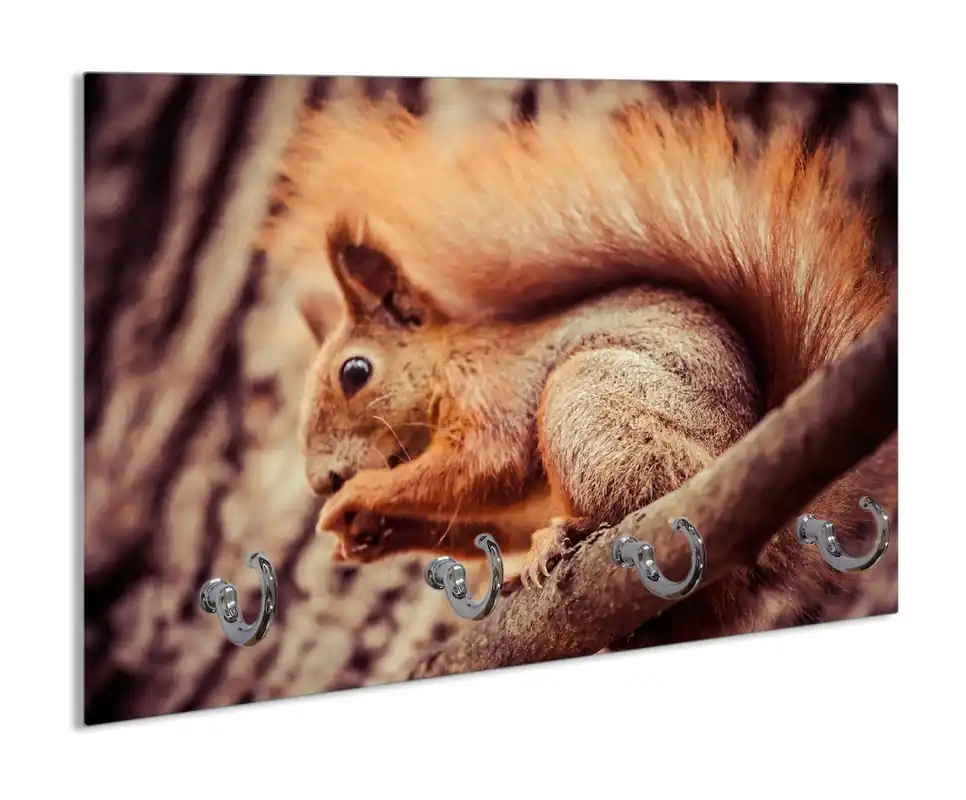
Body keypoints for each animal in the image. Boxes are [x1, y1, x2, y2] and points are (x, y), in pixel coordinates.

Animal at [261, 96, 897, 634]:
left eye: (355, 372)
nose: (321, 480)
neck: (447, 362)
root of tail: (768, 549)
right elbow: (476, 517)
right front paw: (365, 534)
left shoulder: (496, 391)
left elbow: (486, 463)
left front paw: (356, 497)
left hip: (594, 405)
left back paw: (561, 538)